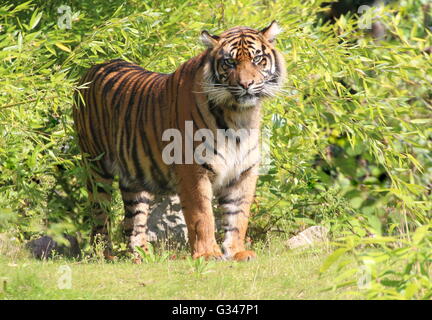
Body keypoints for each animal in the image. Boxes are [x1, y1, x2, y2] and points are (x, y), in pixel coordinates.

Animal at [72, 21, 286, 262]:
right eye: (229, 62)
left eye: (257, 59)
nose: (246, 84)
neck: (240, 114)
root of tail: (92, 68)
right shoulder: (193, 170)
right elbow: (202, 215)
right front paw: (207, 254)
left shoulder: (243, 171)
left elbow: (238, 216)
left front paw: (237, 252)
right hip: (96, 167)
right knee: (100, 215)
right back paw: (104, 255)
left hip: (134, 177)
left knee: (133, 220)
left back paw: (143, 256)